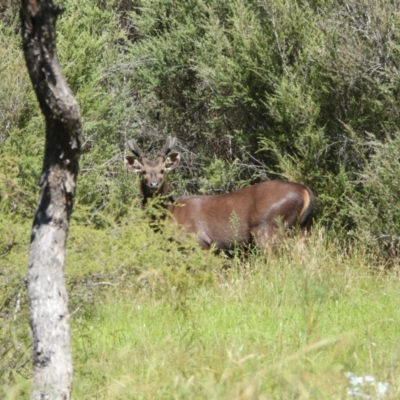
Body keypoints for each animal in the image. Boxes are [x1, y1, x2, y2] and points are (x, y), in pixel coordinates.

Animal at [126, 138, 316, 250]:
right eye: (143, 171)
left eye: (162, 170)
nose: (153, 185)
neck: (171, 214)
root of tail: (304, 190)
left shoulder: (198, 241)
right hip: (301, 229)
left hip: (270, 229)